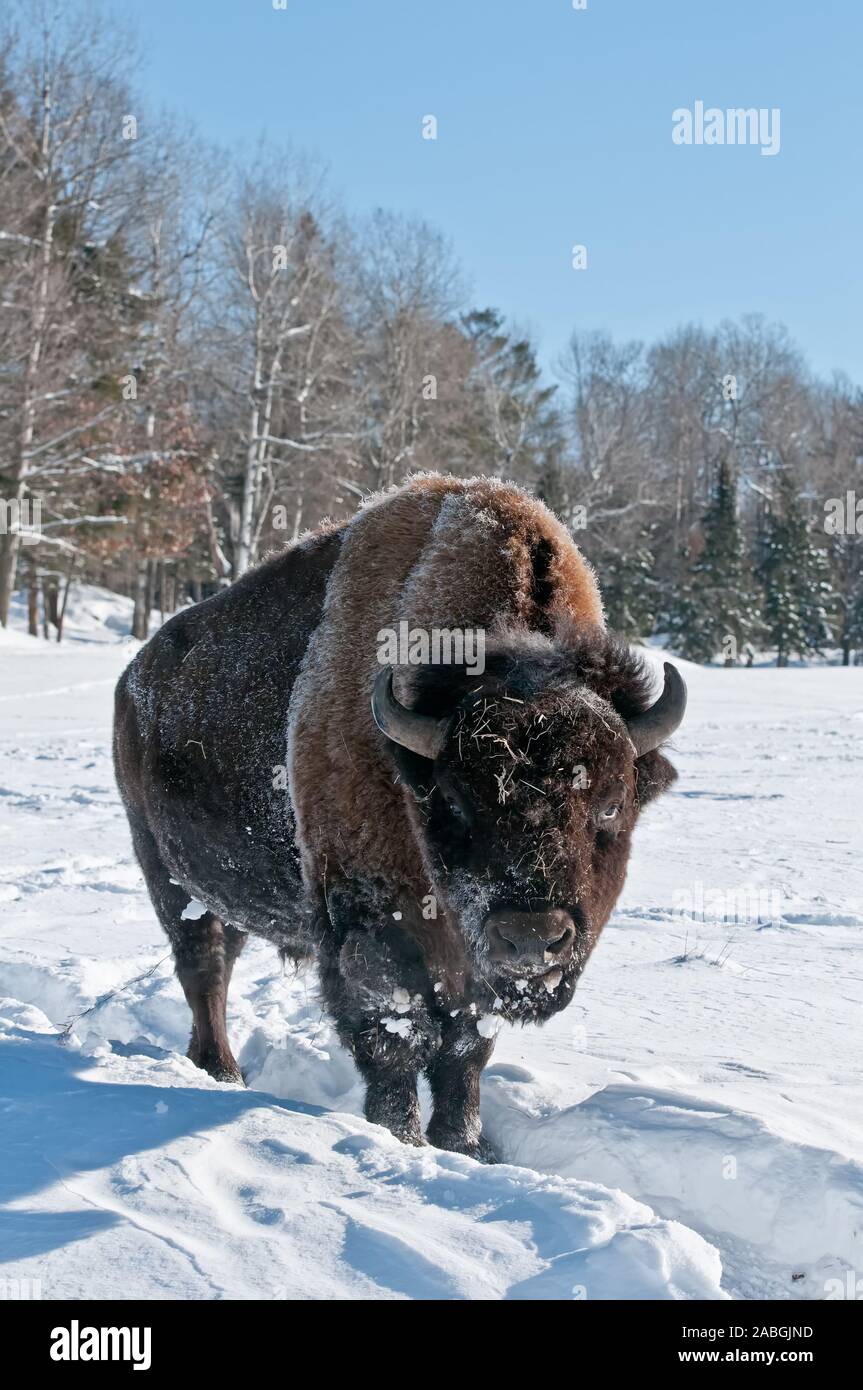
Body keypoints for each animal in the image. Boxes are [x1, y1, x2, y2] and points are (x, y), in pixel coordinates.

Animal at [114, 478, 683, 1162]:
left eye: (611, 803)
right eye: (455, 801)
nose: (532, 937)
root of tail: (135, 680)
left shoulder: (469, 968)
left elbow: (466, 1050)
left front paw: (464, 1146)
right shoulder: (372, 928)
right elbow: (397, 1038)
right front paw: (401, 1139)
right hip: (168, 877)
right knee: (204, 968)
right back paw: (221, 1072)